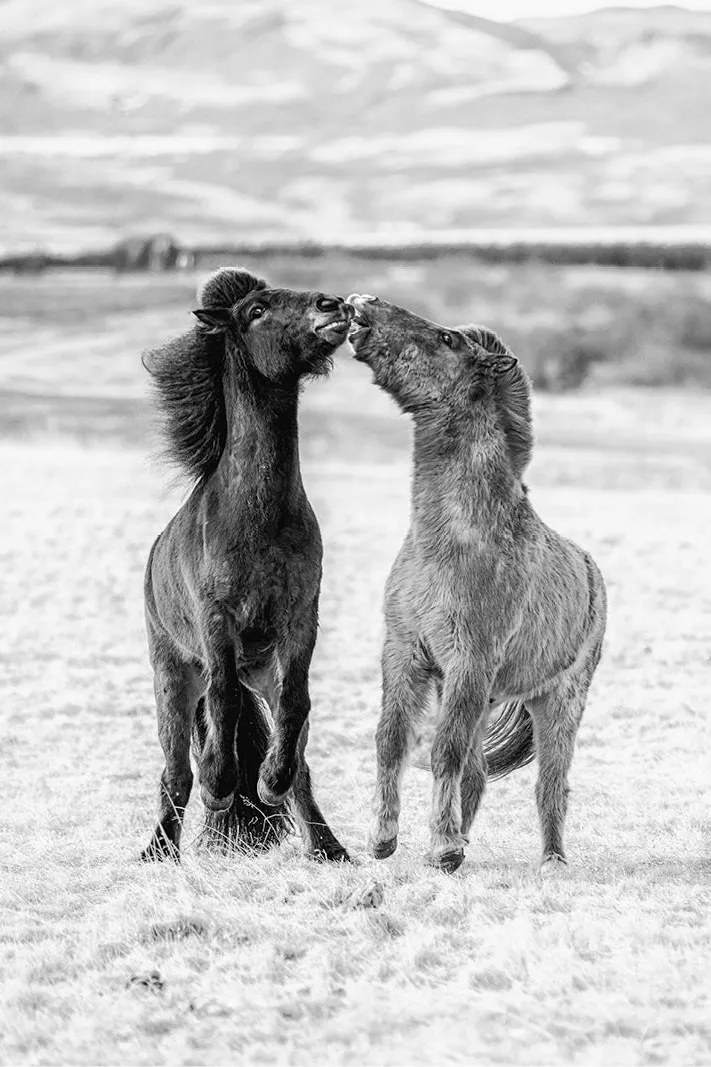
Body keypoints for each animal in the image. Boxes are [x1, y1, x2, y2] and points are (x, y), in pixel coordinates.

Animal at [140, 266, 352, 863]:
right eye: (256, 311)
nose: (333, 306)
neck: (257, 519)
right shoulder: (218, 623)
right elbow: (224, 702)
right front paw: (221, 787)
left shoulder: (300, 622)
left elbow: (297, 707)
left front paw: (267, 785)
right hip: (172, 677)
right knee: (176, 770)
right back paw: (159, 851)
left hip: (262, 670)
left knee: (297, 754)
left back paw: (327, 848)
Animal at [347, 294, 607, 874]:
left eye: (446, 339)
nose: (360, 304)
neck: (452, 541)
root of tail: (590, 569)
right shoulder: (404, 655)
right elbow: (391, 743)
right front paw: (384, 840)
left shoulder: (469, 662)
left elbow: (441, 752)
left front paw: (441, 848)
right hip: (479, 697)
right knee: (477, 772)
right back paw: (461, 841)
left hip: (557, 702)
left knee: (550, 784)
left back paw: (550, 860)